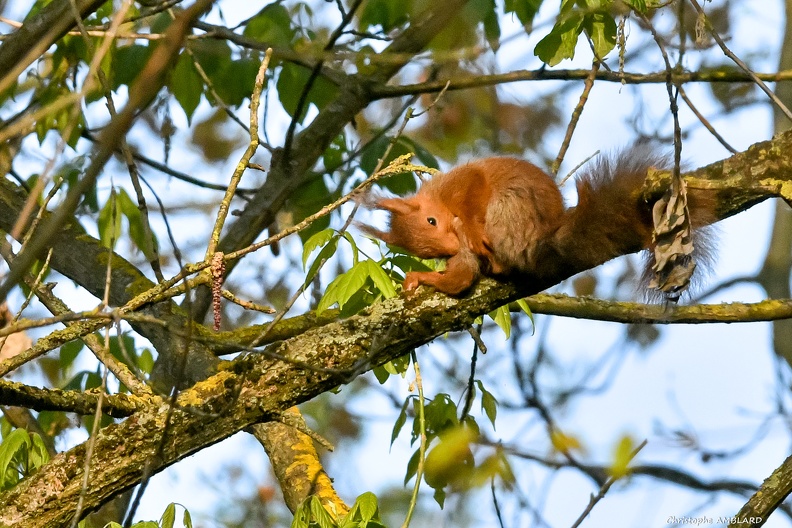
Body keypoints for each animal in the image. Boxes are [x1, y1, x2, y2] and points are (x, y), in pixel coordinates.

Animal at [360, 147, 716, 296]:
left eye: (432, 220)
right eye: (427, 251)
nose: (450, 243)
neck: (442, 200)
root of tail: (542, 238)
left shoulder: (464, 184)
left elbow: (475, 190)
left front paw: (470, 228)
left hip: (509, 207)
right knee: (466, 276)